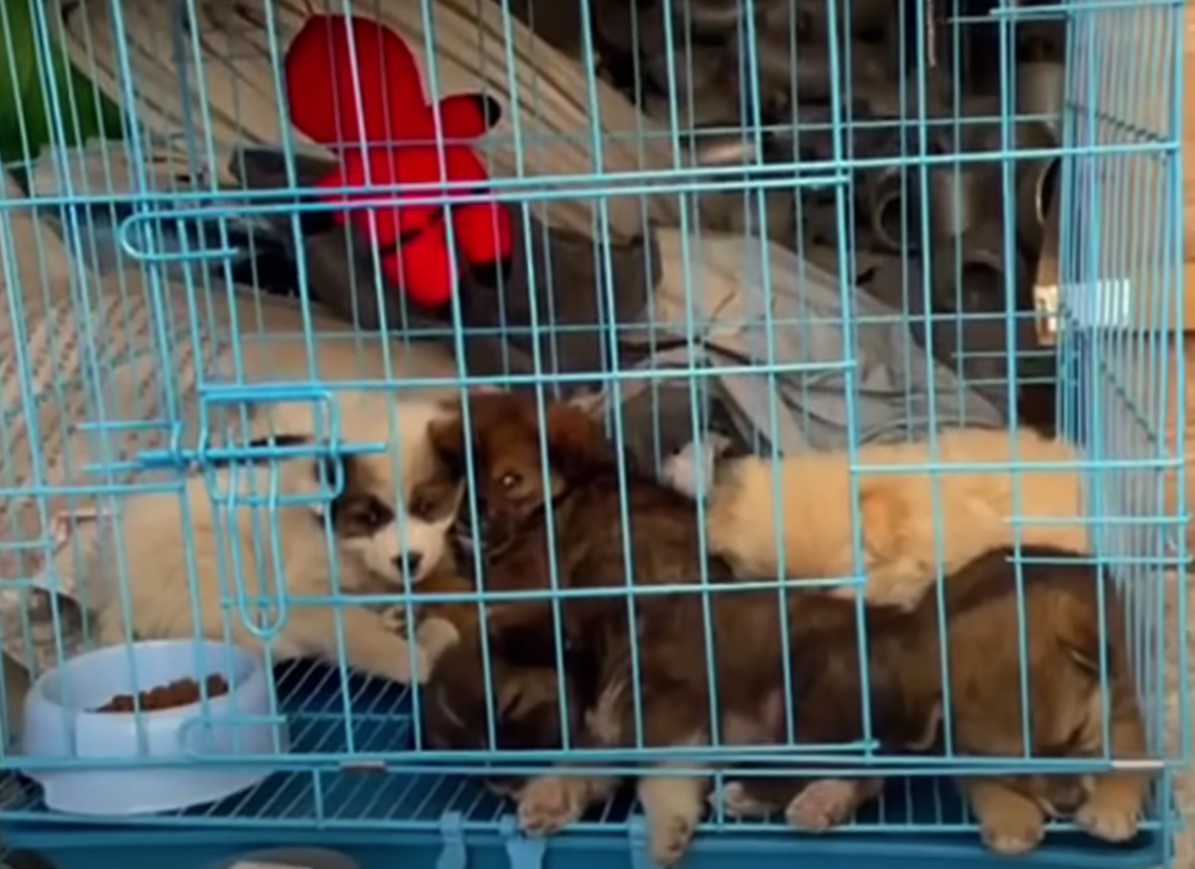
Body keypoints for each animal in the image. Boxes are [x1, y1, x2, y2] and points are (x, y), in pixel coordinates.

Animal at [86, 396, 461, 688]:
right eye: (369, 518)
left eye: (427, 506)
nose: (409, 560)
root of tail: (114, 600)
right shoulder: (303, 595)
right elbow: (356, 629)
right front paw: (413, 658)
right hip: (215, 559)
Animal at [717, 547, 1147, 860]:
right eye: (1012, 762)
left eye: (1076, 733)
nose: (1069, 804)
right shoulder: (959, 751)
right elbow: (986, 786)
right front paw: (1011, 818)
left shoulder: (1122, 710)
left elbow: (1128, 764)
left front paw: (1110, 809)